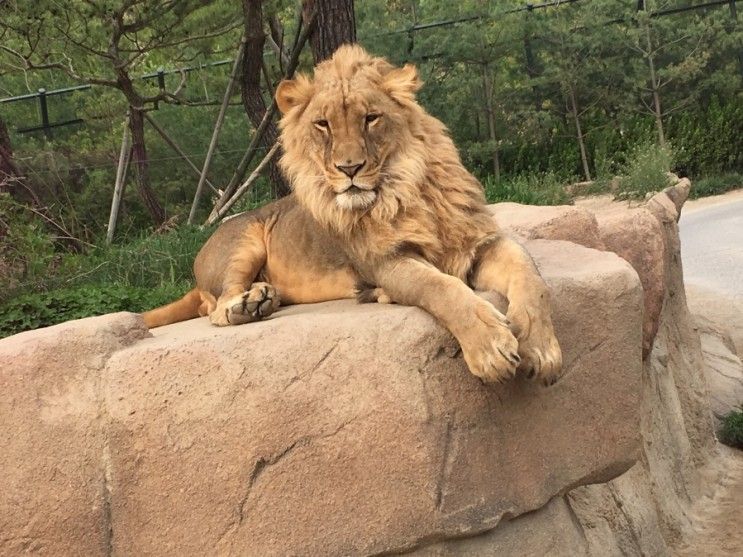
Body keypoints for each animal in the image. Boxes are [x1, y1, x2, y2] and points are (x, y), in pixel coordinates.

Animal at [144, 45, 564, 384]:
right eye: (323, 124)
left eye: (370, 118)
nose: (349, 168)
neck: (405, 190)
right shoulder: (385, 261)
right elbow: (440, 288)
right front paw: (491, 348)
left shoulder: (482, 241)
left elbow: (532, 279)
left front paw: (540, 349)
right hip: (243, 242)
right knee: (216, 309)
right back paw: (251, 304)